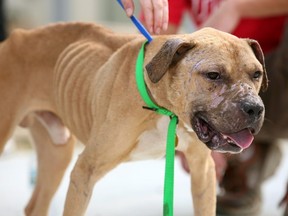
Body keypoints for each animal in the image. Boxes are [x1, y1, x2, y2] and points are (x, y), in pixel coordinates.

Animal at [0, 22, 266, 215]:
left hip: (57, 153)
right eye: (213, 75)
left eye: (256, 74)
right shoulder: (84, 172)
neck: (164, 107)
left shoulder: (202, 171)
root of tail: (18, 35)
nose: (254, 108)